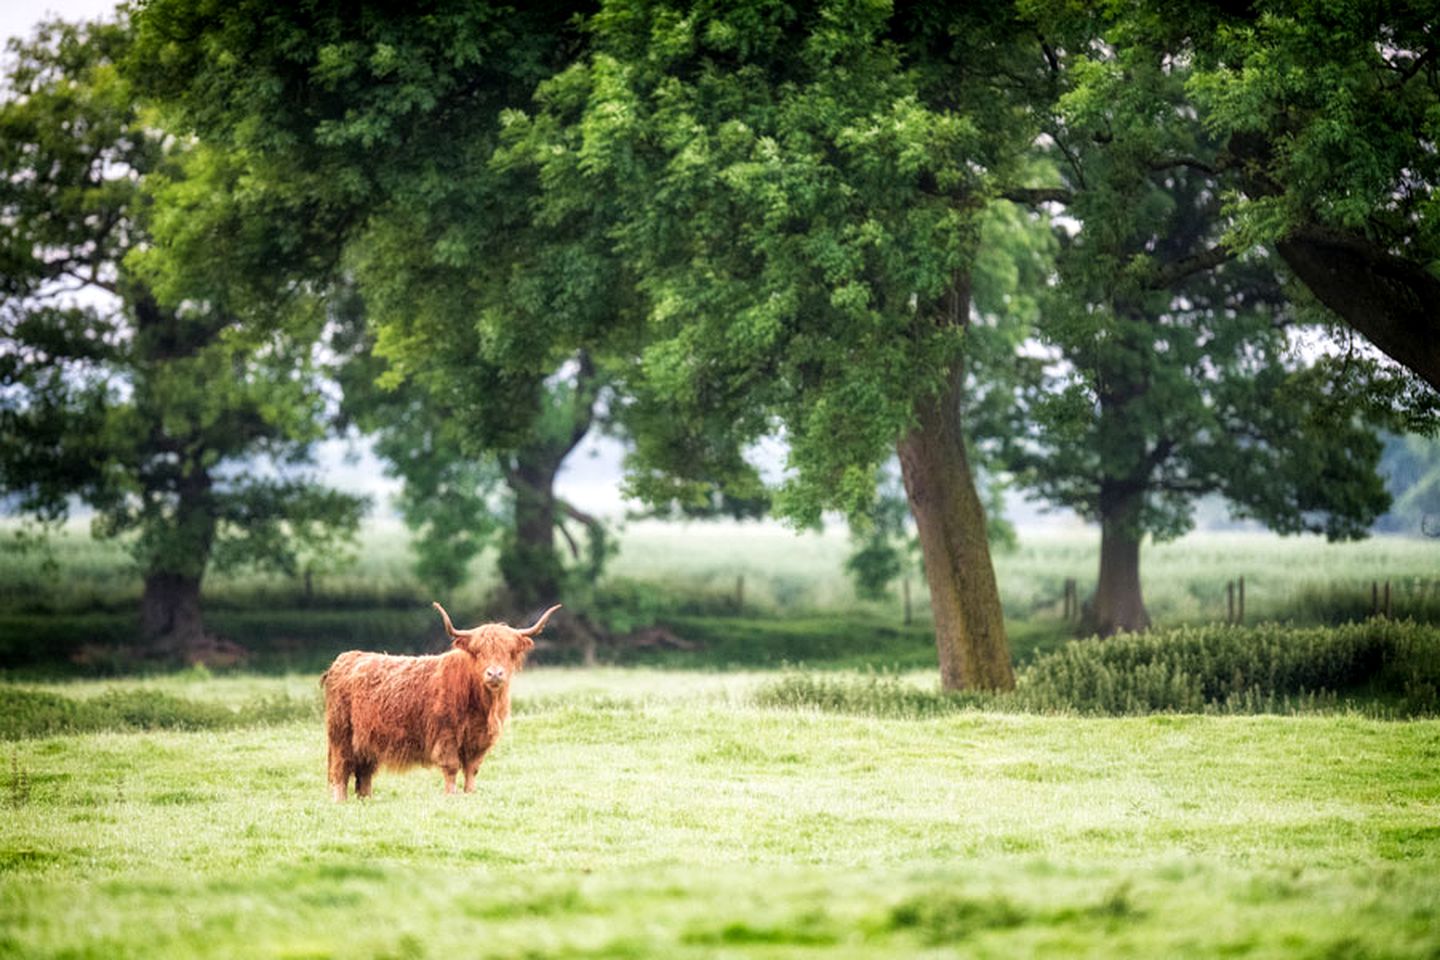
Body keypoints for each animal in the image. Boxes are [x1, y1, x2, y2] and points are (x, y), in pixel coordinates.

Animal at [321, 601, 555, 805]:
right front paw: (451, 795)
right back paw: (340, 802)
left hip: (366, 741)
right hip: (341, 735)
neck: (481, 704)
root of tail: (347, 658)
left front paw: (470, 793)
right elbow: (451, 767)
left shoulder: (479, 740)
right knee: (341, 769)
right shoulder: (446, 735)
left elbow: (472, 769)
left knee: (364, 773)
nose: (495, 673)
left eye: (509, 652)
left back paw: (366, 800)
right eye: (478, 652)